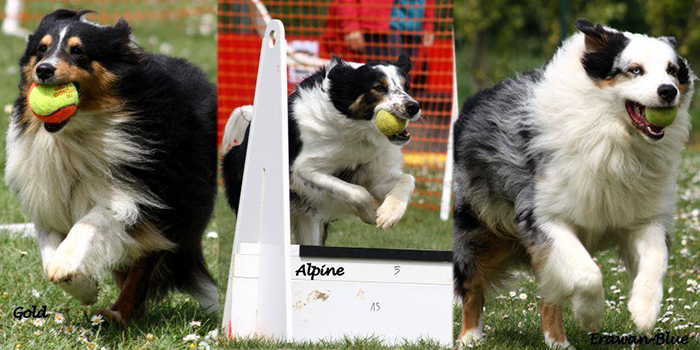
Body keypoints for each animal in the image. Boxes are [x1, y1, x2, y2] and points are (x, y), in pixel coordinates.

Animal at [224, 55, 418, 246]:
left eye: (407, 87)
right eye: (378, 87)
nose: (414, 107)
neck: (358, 133)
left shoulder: (373, 172)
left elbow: (407, 179)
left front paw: (389, 213)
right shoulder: (305, 169)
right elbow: (356, 191)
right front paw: (370, 212)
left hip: (309, 224)